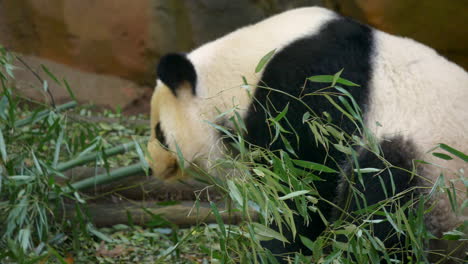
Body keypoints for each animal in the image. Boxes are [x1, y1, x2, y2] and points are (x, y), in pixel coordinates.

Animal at [145, 7, 464, 262]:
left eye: (160, 133)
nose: (153, 165)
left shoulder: (310, 91)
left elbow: (306, 185)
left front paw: (279, 247)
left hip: (434, 173)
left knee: (385, 196)